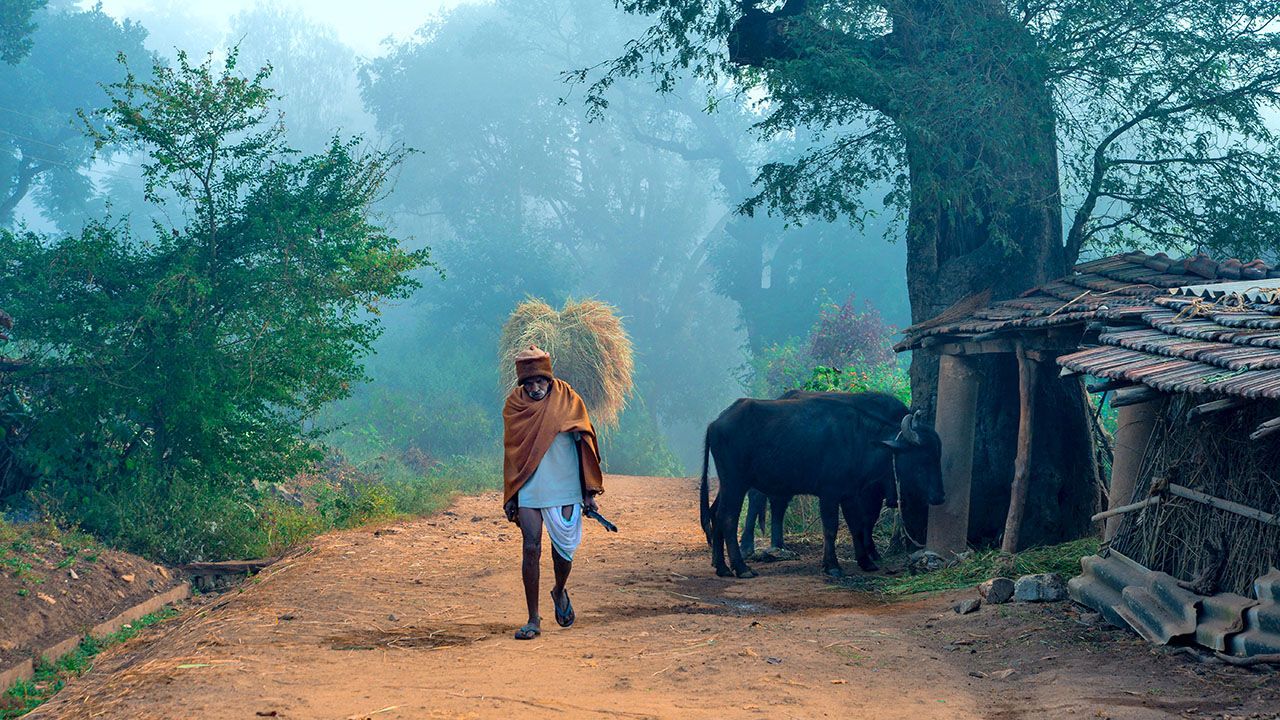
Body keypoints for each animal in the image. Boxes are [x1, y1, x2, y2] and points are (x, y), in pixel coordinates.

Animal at [696, 389, 947, 573]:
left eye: (938, 455)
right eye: (923, 458)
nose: (939, 496)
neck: (859, 440)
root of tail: (715, 423)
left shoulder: (850, 493)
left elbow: (857, 524)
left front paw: (866, 562)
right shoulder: (830, 494)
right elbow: (831, 528)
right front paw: (832, 565)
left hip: (729, 484)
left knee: (716, 514)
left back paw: (722, 567)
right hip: (736, 483)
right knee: (728, 518)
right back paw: (741, 567)